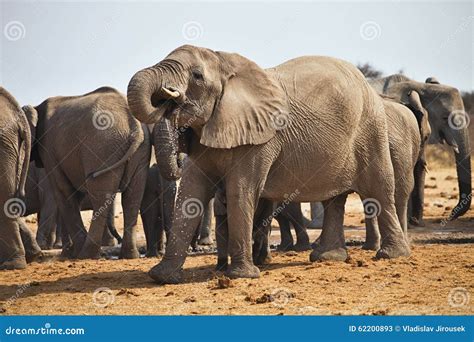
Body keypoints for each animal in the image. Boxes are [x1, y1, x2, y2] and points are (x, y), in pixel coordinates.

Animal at [23, 87, 150, 258]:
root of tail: (133, 123)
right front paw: (69, 252)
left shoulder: (48, 148)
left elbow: (62, 191)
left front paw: (69, 253)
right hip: (139, 150)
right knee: (133, 196)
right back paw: (129, 255)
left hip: (102, 147)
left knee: (100, 196)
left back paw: (87, 255)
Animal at [128, 44, 410, 284]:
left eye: (197, 76)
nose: (168, 99)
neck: (225, 63)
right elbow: (191, 193)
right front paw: (162, 277)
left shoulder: (260, 139)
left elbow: (240, 191)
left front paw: (241, 276)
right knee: (334, 199)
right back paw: (327, 258)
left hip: (371, 127)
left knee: (379, 190)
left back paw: (391, 255)